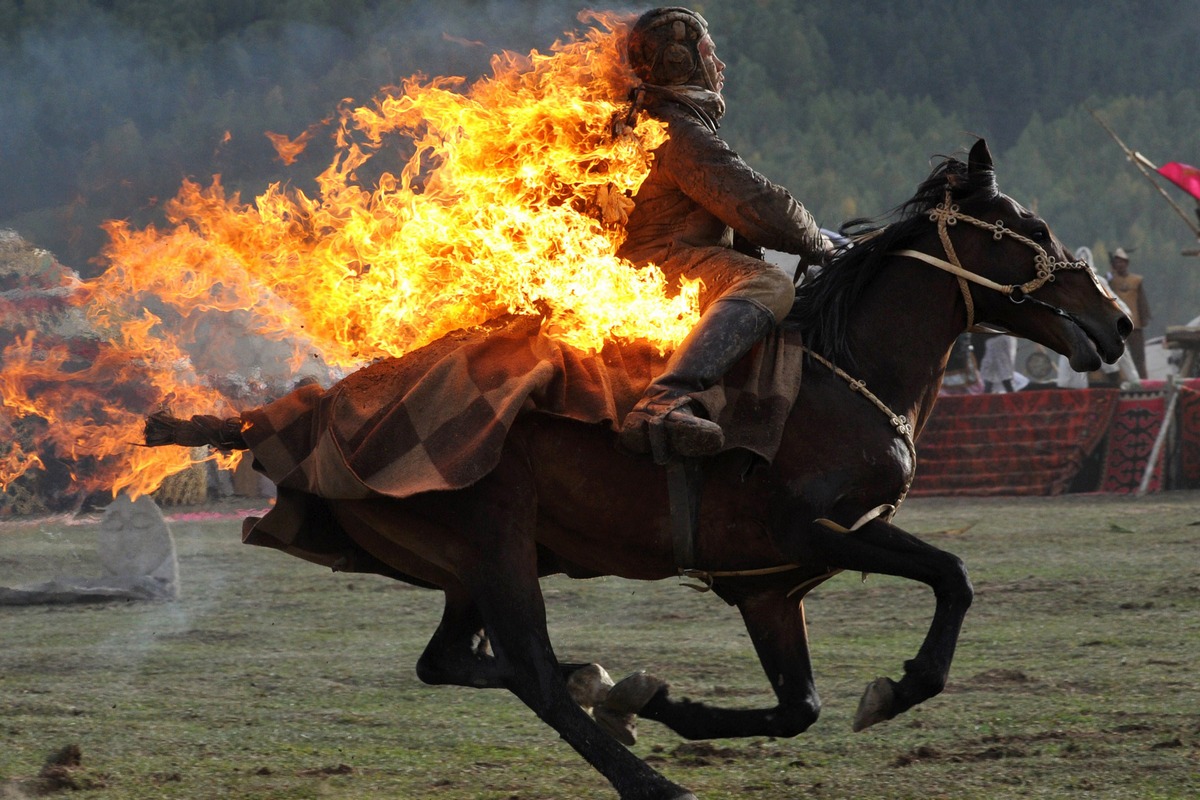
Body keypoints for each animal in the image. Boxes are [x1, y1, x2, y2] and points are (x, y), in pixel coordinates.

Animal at [145, 140, 1128, 796]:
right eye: (1030, 227)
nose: (1116, 321)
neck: (842, 372)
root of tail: (309, 411)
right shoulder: (818, 532)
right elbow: (952, 577)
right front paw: (896, 689)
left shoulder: (770, 587)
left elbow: (798, 706)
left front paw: (665, 704)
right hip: (500, 548)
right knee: (533, 674)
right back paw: (645, 776)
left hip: (471, 564)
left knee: (457, 662)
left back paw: (607, 685)